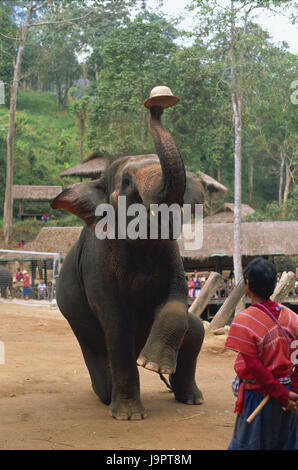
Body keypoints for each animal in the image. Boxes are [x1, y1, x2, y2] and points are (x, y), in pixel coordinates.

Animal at [51, 101, 205, 420]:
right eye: (125, 181)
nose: (156, 107)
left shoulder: (171, 254)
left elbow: (177, 299)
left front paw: (153, 364)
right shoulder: (99, 261)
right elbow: (116, 323)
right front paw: (129, 416)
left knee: (196, 330)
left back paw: (192, 399)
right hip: (80, 329)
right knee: (102, 370)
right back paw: (110, 396)